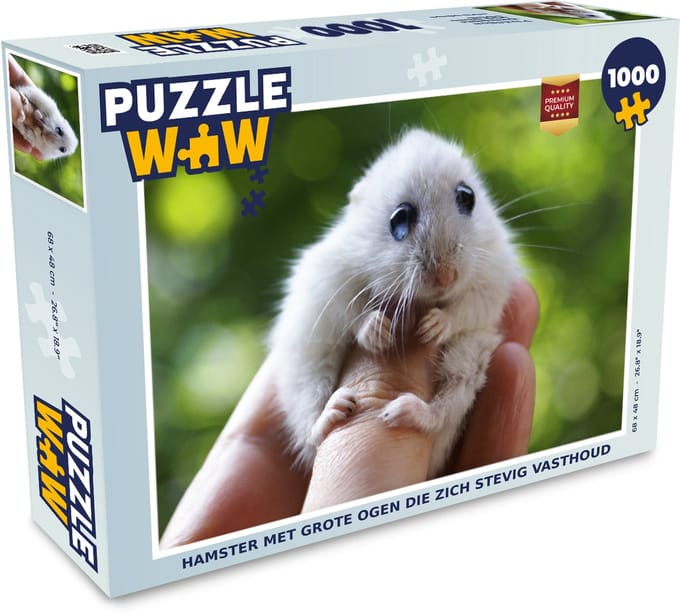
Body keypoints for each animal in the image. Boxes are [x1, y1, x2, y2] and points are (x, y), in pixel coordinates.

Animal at [269, 128, 520, 478]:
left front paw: (431, 327)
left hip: (470, 362)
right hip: (305, 372)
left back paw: (401, 411)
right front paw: (380, 333)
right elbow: (350, 311)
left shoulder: (494, 275)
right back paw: (337, 409)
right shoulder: (328, 279)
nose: (445, 277)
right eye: (400, 218)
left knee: (444, 409)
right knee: (309, 426)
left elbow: (469, 307)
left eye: (467, 197)